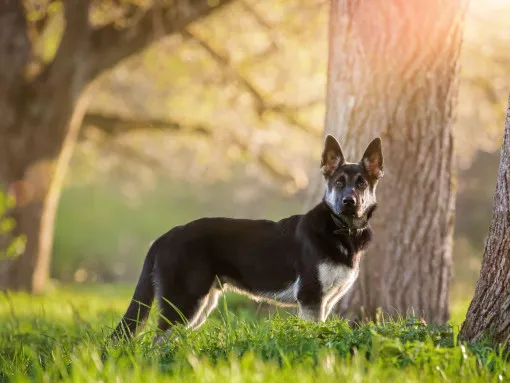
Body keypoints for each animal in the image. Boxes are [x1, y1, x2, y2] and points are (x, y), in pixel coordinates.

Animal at [111, 134, 382, 342]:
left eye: (361, 184)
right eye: (339, 182)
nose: (349, 202)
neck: (340, 229)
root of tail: (165, 236)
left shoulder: (324, 303)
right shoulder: (311, 298)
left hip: (200, 305)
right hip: (185, 303)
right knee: (156, 341)